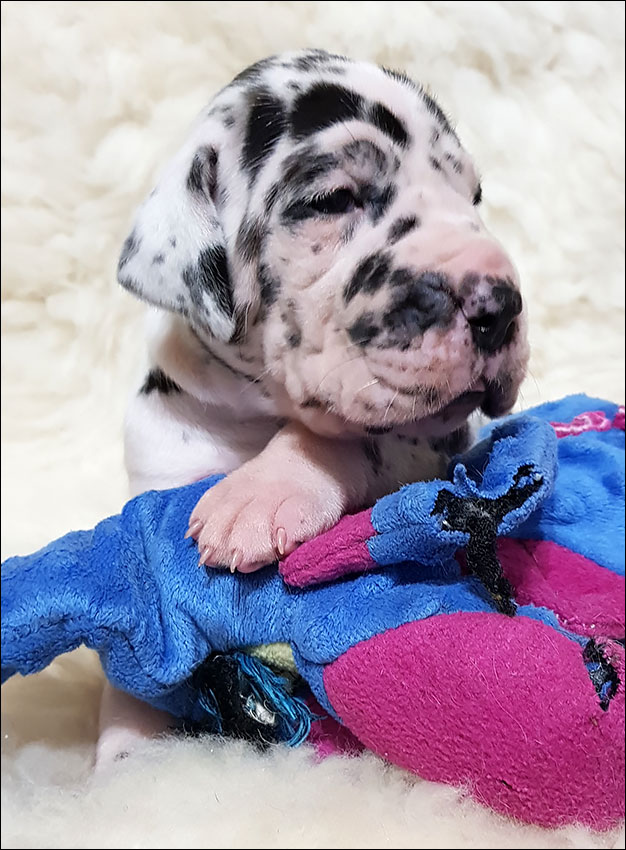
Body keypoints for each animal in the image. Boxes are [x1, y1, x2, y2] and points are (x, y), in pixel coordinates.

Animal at [98, 49, 529, 763]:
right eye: (333, 200)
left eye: (472, 198)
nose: (499, 303)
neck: (255, 413)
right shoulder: (159, 469)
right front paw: (127, 759)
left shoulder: (429, 442)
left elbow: (354, 435)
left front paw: (264, 489)